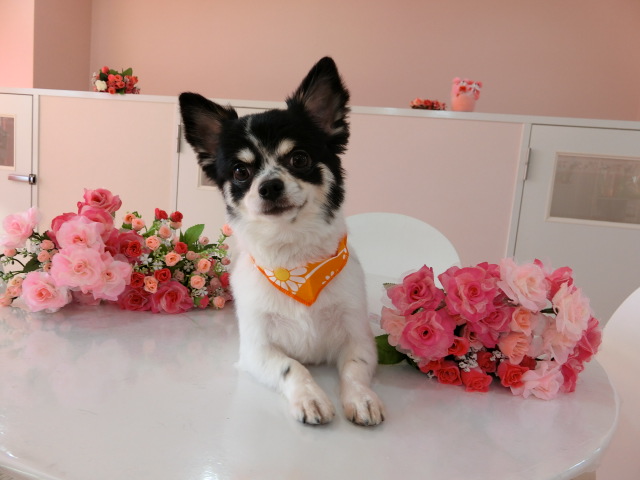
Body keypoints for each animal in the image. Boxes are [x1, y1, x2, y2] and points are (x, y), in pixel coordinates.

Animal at [179, 57, 384, 426]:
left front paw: (361, 398)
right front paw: (311, 397)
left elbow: (354, 369)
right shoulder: (256, 350)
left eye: (299, 159)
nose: (270, 186)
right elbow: (293, 367)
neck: (295, 263)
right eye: (240, 172)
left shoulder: (359, 339)